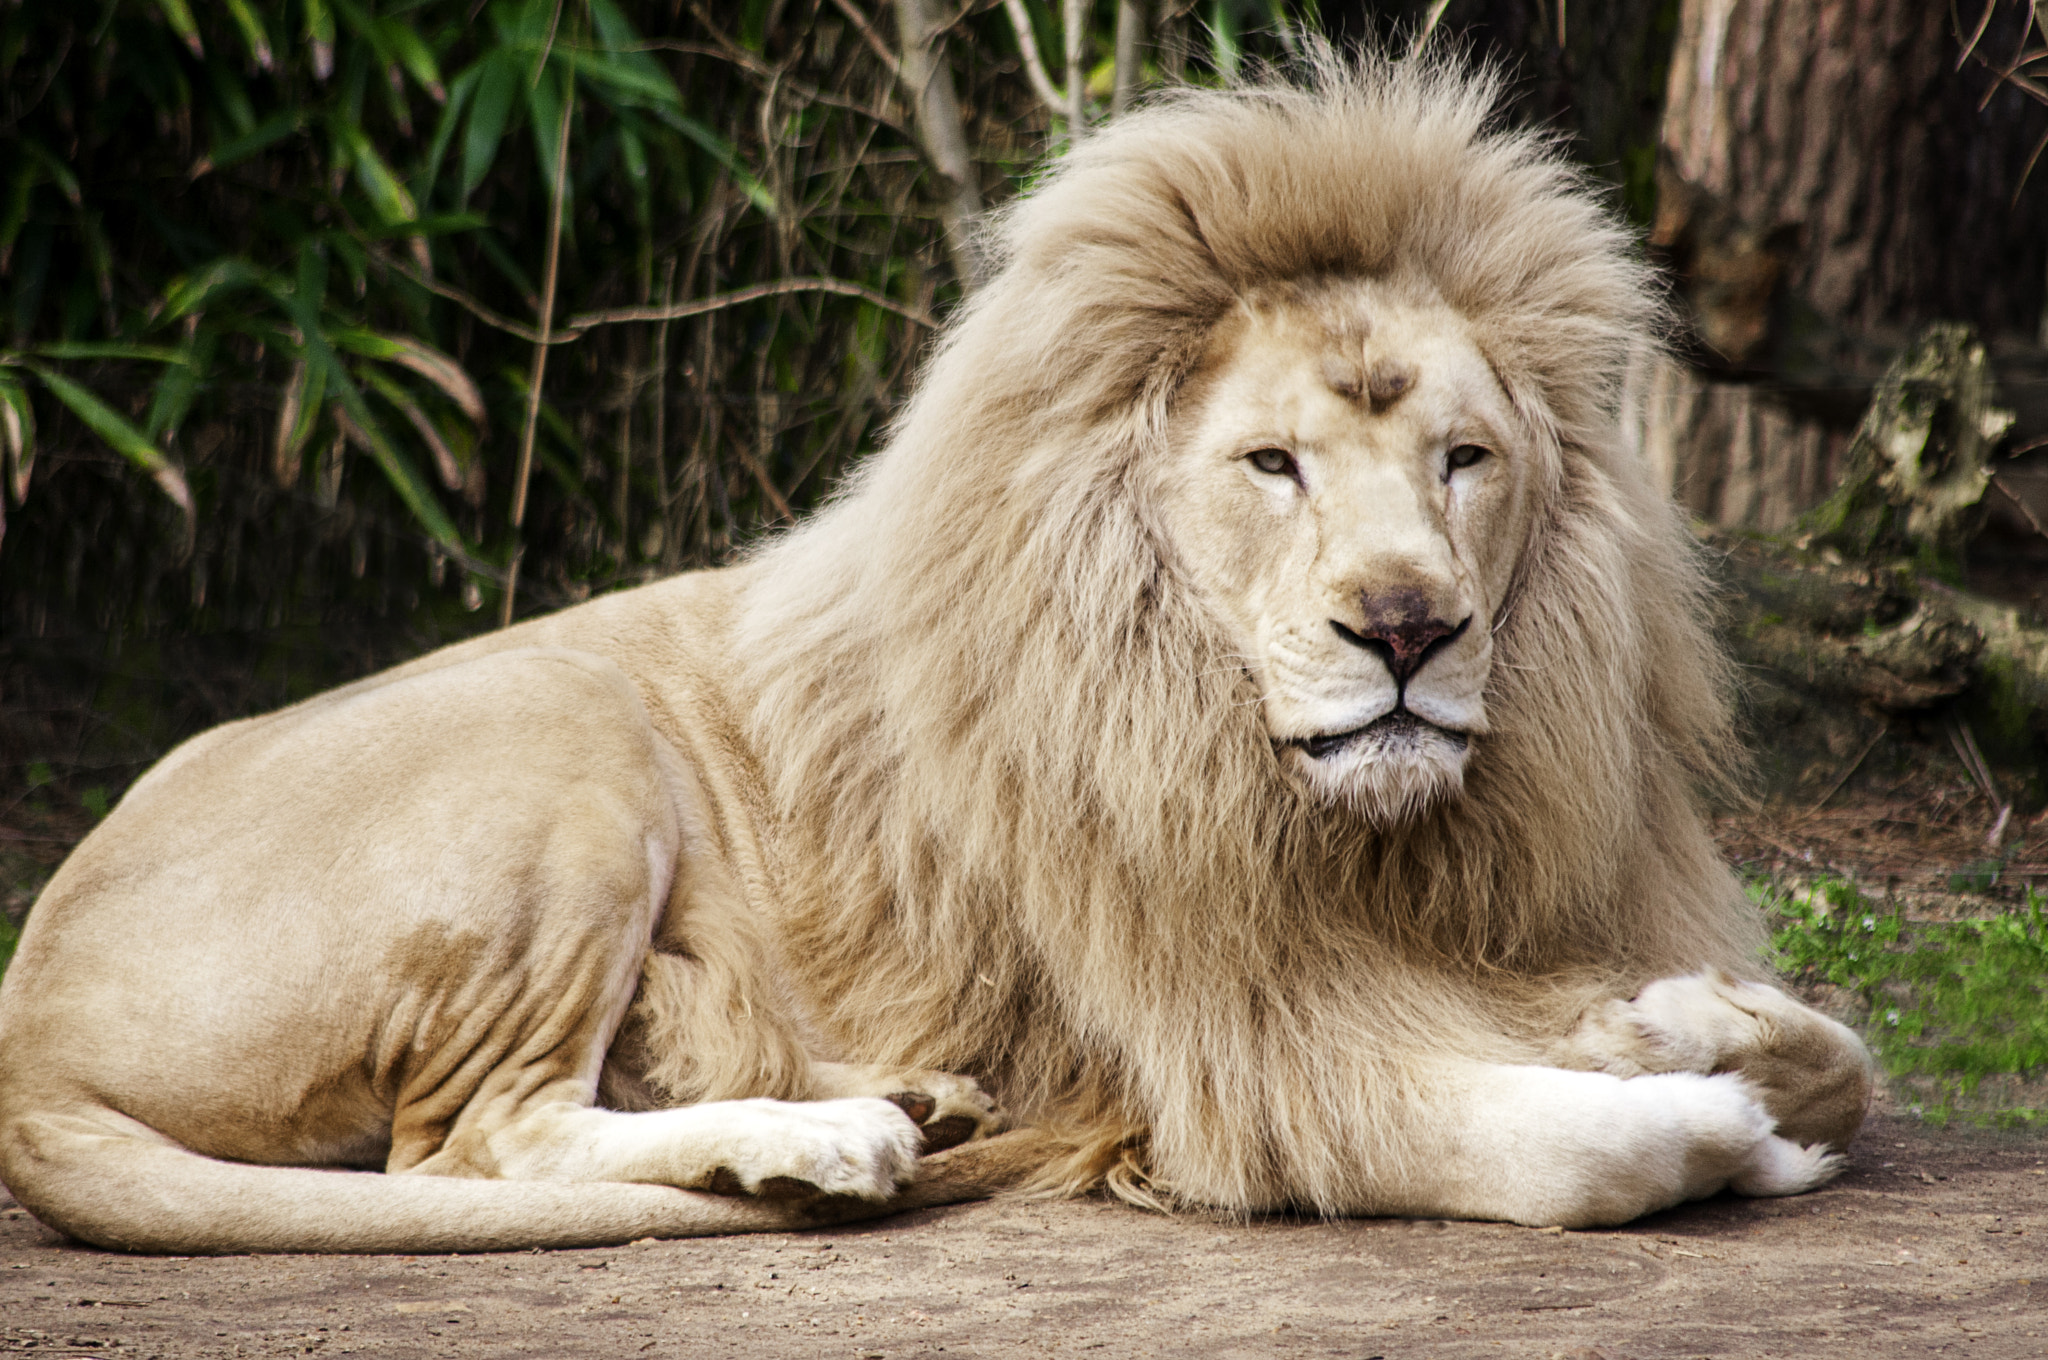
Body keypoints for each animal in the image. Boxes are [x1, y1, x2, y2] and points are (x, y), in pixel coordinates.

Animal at [0, 53, 1872, 1254]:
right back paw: (828, 1143)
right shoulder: (1226, 1056)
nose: (1409, 627)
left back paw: (909, 1105)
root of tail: (28, 1018)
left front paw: (1678, 1024)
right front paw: (1714, 1126)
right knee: (467, 1146)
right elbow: (1575, 1157)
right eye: (1272, 465)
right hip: (562, 753)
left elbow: (1837, 1053)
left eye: (1464, 461)